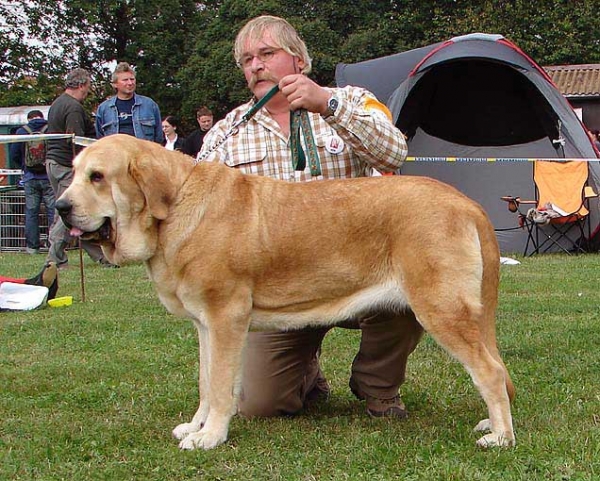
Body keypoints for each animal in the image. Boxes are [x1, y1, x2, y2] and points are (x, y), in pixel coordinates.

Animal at [57, 134, 516, 450]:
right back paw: (492, 424)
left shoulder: (226, 318)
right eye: (74, 173)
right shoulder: (206, 325)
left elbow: (221, 386)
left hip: (441, 307)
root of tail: (467, 203)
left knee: (490, 372)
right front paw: (196, 426)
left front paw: (210, 437)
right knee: (495, 366)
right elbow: (206, 382)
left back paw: (500, 437)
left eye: (97, 177)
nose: (61, 207)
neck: (174, 207)